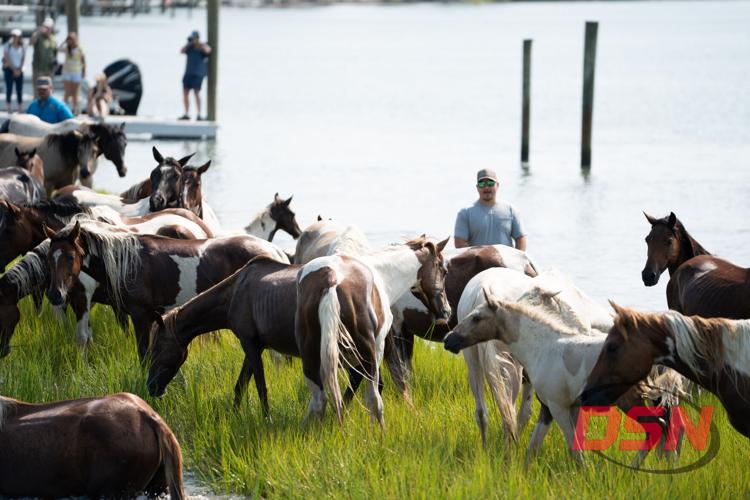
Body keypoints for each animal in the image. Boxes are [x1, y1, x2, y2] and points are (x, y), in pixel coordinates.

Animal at [44, 219, 289, 360]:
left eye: (70, 257)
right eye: (49, 256)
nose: (55, 294)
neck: (128, 262)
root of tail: (273, 251)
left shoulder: (140, 315)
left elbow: (144, 353)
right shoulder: (153, 316)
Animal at [296, 236, 449, 425]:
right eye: (444, 271)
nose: (446, 311)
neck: (381, 273)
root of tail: (331, 281)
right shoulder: (378, 346)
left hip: (310, 354)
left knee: (318, 401)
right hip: (368, 354)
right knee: (374, 399)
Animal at [444, 279, 685, 462]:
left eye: (476, 317)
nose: (449, 340)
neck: (547, 347)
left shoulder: (558, 407)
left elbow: (575, 447)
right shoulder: (553, 408)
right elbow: (535, 447)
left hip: (630, 401)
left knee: (657, 428)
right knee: (668, 429)